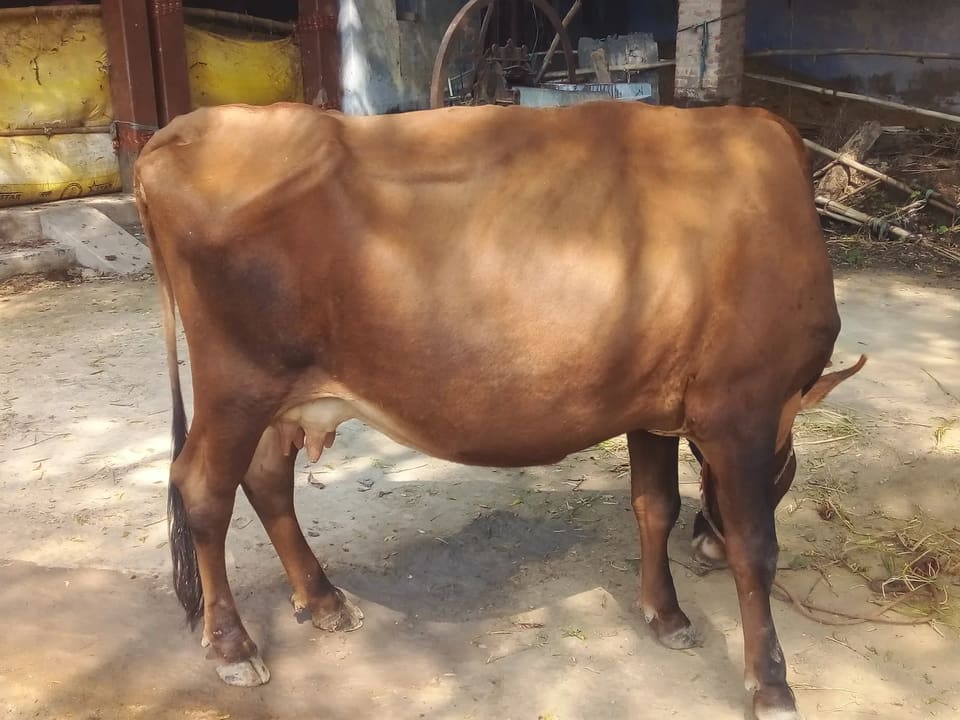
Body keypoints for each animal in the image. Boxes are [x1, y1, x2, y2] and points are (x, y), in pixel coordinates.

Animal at [133, 100, 865, 720]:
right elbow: (757, 547)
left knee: (264, 479)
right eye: (786, 471)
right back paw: (234, 647)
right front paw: (771, 683)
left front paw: (668, 616)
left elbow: (654, 505)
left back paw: (323, 600)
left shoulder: (651, 403)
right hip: (239, 382)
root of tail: (177, 133)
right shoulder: (743, 405)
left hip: (277, 394)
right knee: (203, 488)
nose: (704, 546)